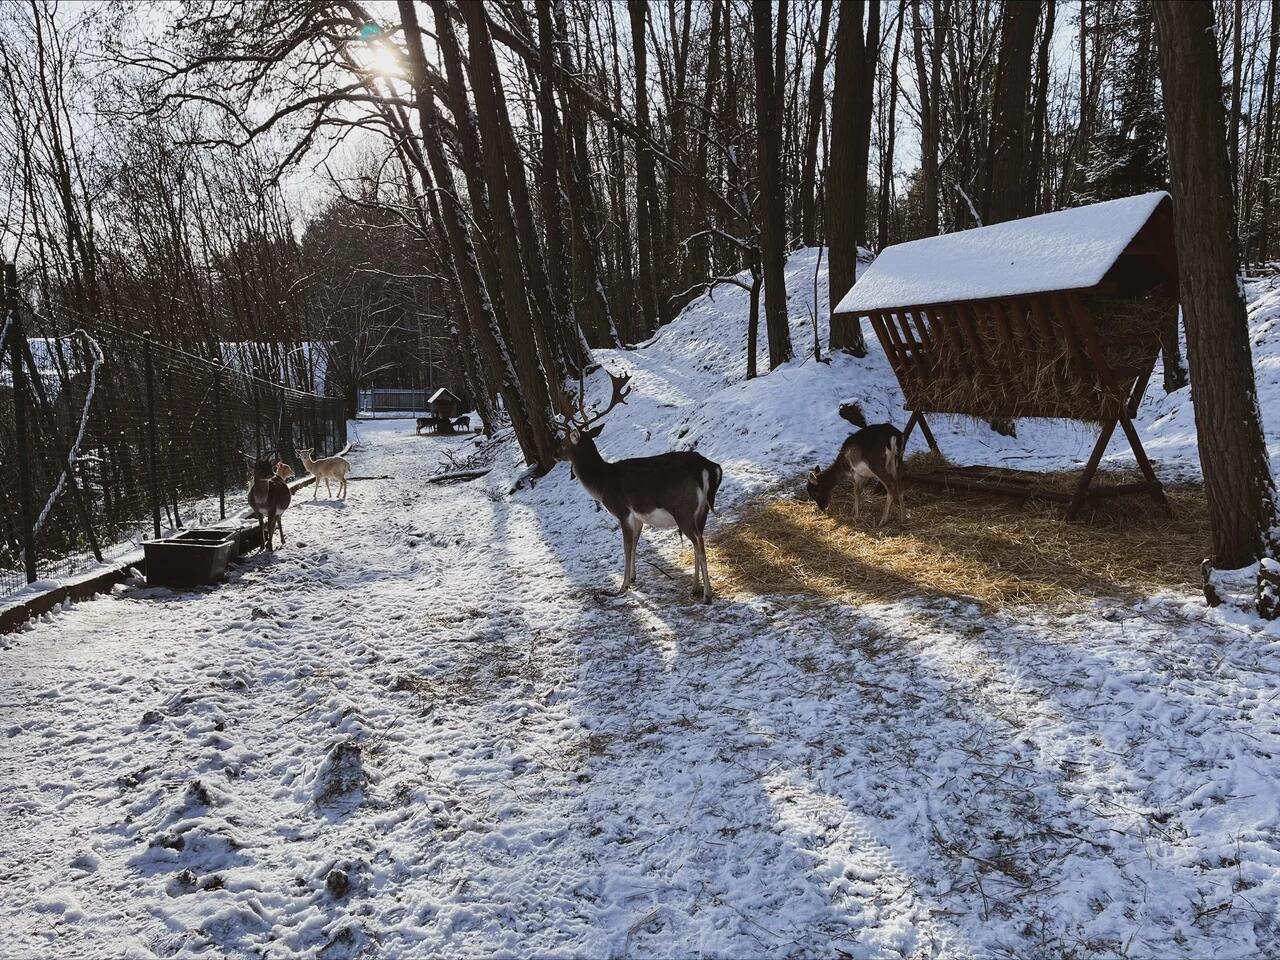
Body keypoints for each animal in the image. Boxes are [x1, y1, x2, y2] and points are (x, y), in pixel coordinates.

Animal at [556, 370, 723, 603]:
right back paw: (695, 588)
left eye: (563, 442)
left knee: (699, 544)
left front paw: (622, 586)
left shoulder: (622, 511)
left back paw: (707, 594)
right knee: (699, 540)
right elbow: (635, 543)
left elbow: (626, 547)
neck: (601, 483)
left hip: (683, 510)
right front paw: (633, 578)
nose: (555, 454)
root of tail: (708, 467)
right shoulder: (639, 517)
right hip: (703, 510)